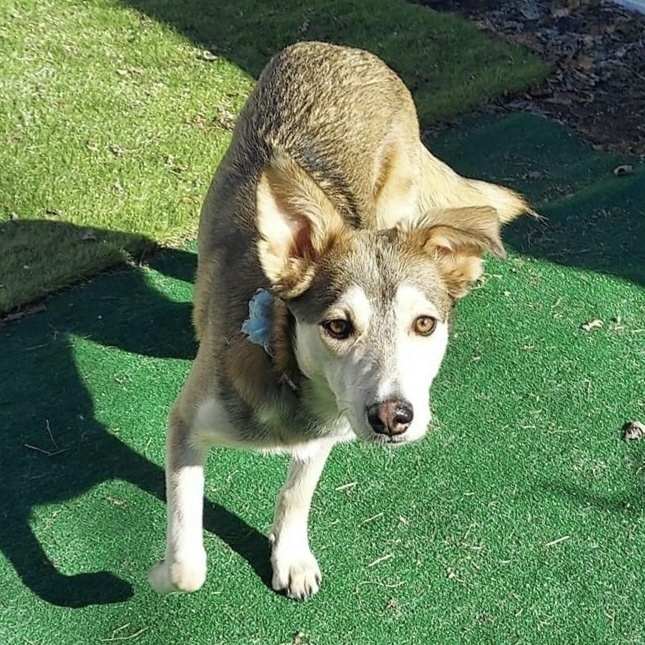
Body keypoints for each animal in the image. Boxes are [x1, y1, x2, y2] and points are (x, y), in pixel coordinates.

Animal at [148, 42, 532, 600]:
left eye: (424, 324)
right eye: (337, 327)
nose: (392, 417)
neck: (283, 369)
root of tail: (342, 48)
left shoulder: (327, 428)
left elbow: (297, 493)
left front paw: (290, 557)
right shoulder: (185, 424)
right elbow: (187, 566)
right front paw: (161, 572)